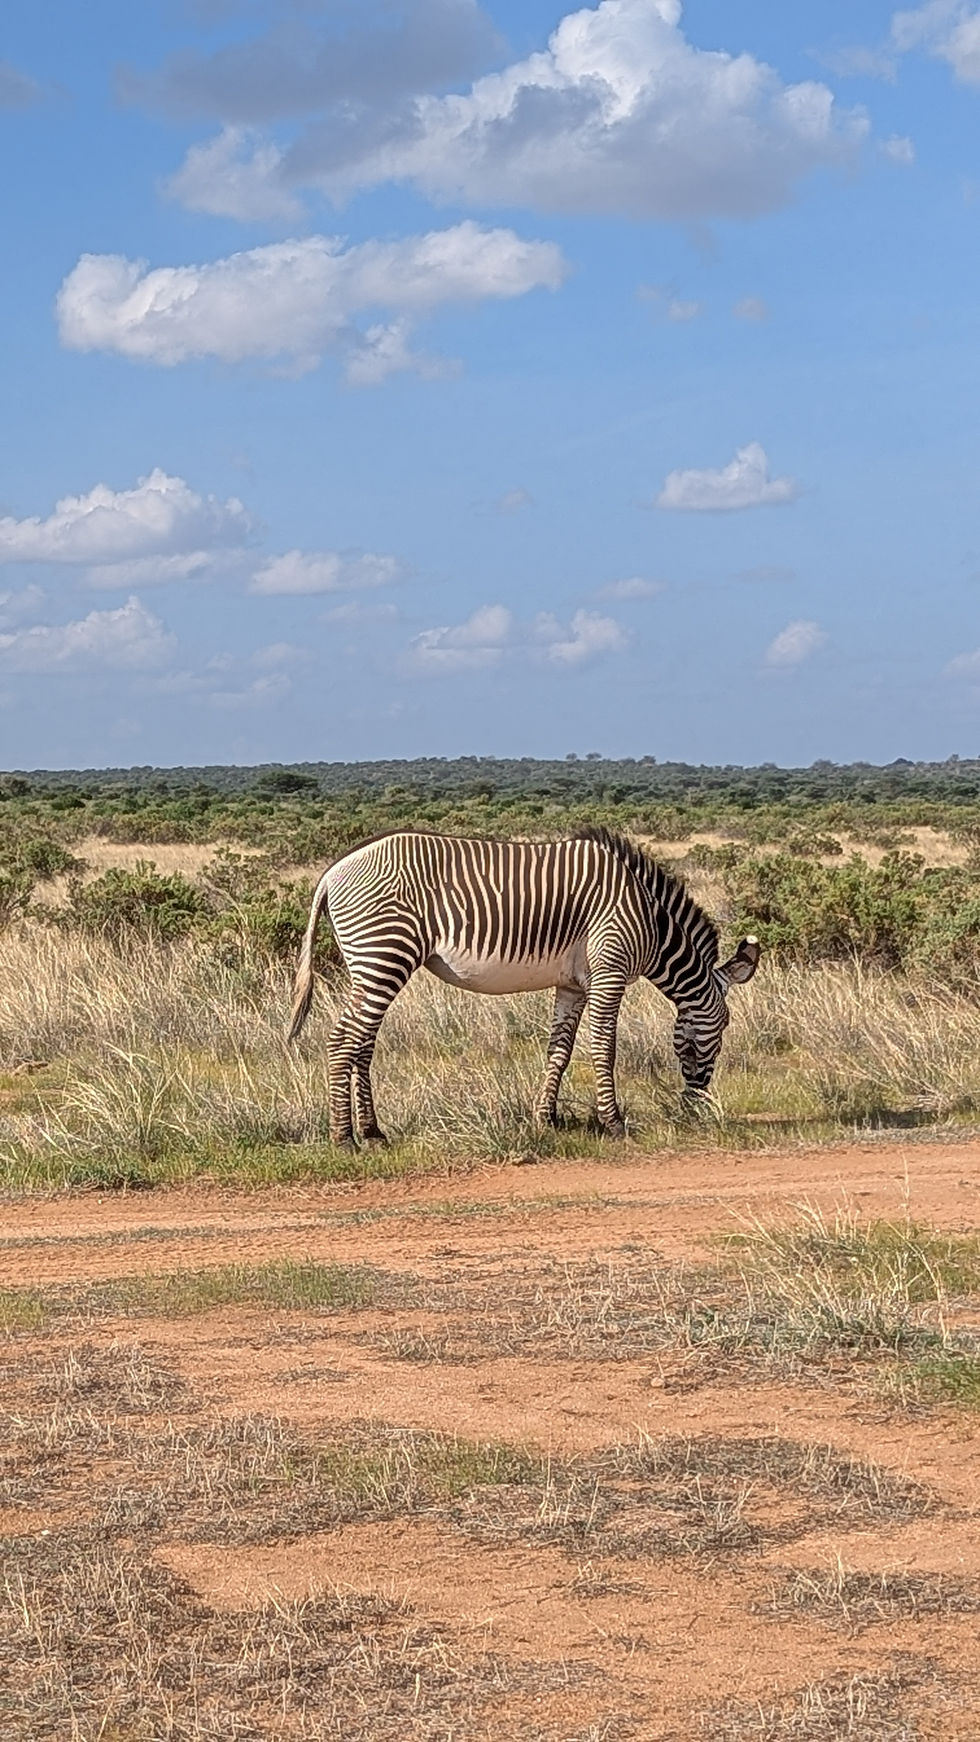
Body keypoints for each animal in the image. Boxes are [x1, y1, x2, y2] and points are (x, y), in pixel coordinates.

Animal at [288, 827, 760, 1147]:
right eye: (724, 1027)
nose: (696, 1105)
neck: (651, 920)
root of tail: (333, 871)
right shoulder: (609, 971)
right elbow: (604, 1048)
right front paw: (613, 1123)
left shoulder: (573, 985)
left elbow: (560, 1051)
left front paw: (545, 1118)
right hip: (385, 953)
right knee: (343, 1041)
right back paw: (344, 1137)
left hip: (369, 965)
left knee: (362, 1043)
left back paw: (373, 1132)